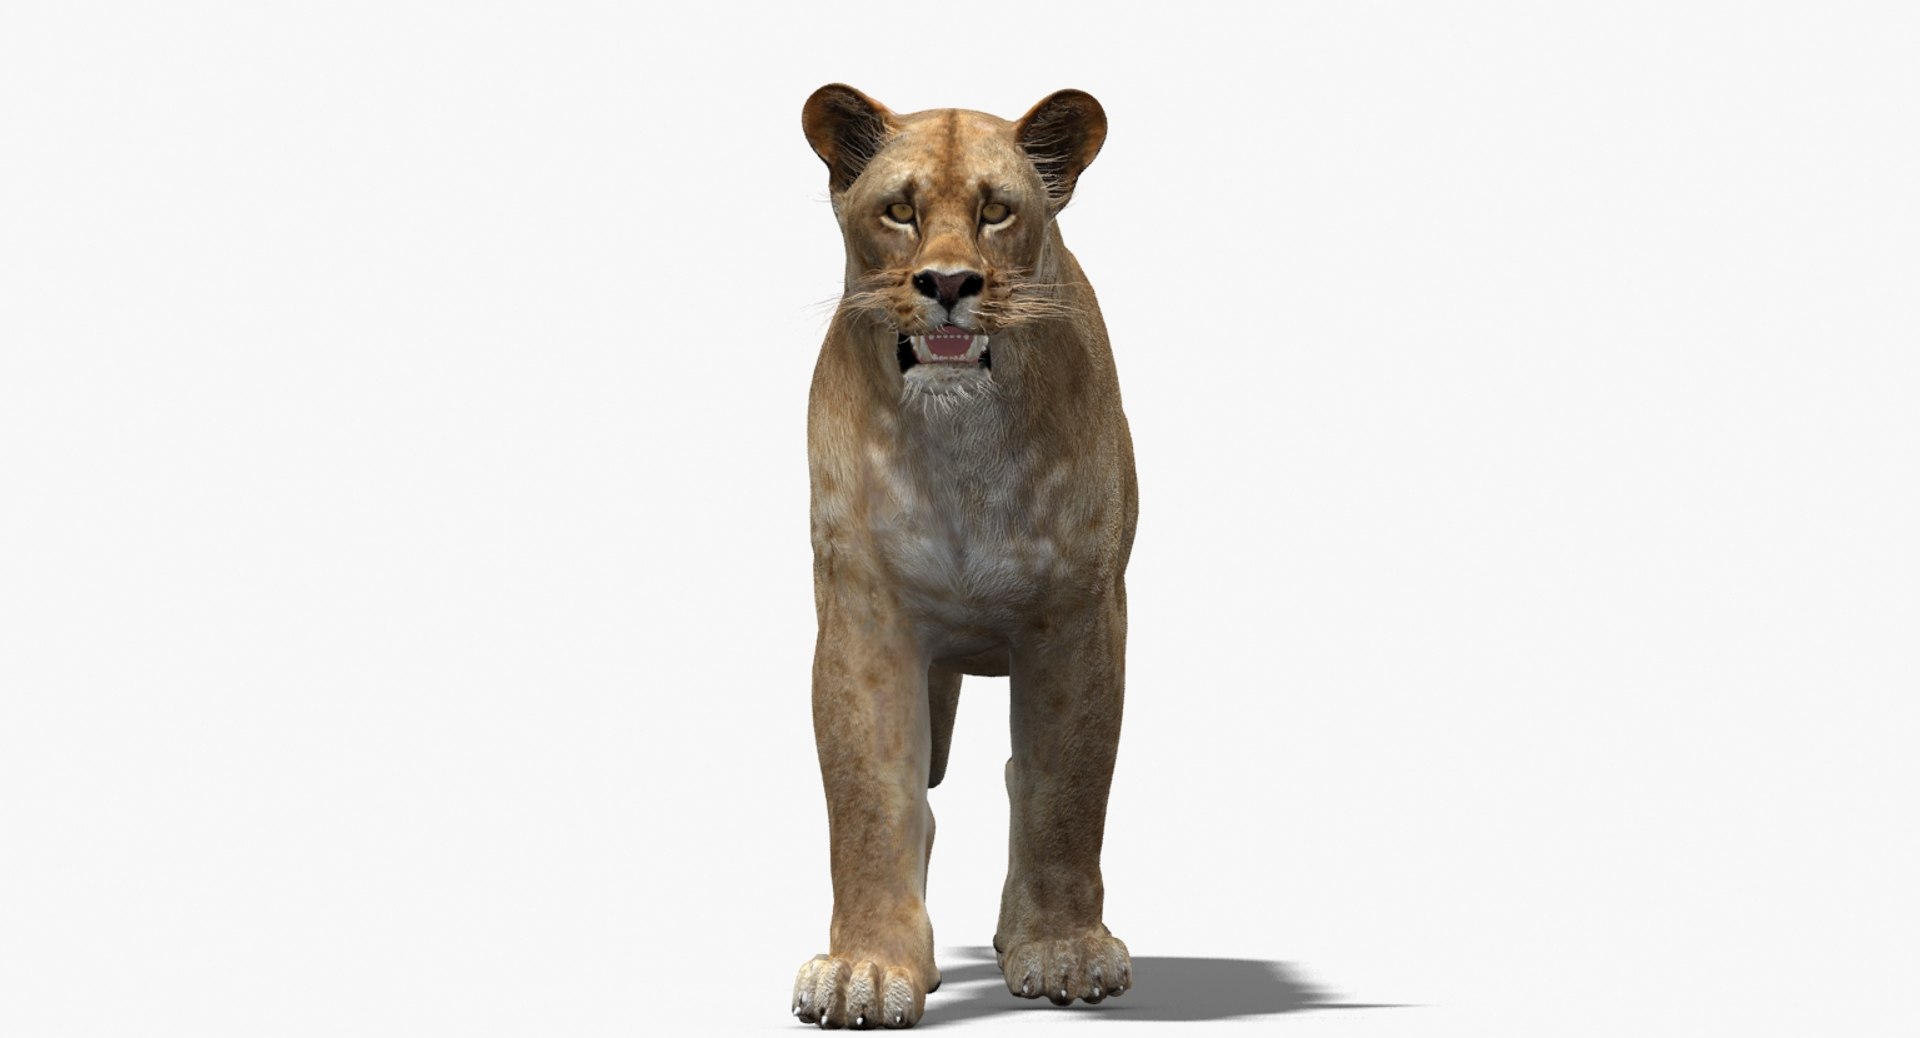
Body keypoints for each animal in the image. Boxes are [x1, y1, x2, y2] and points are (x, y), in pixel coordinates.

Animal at [791, 85, 1138, 1029]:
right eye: (900, 211)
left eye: (996, 211)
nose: (948, 284)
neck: (959, 446)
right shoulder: (863, 613)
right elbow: (870, 796)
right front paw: (867, 968)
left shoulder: (1079, 612)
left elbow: (1066, 787)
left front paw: (1062, 950)